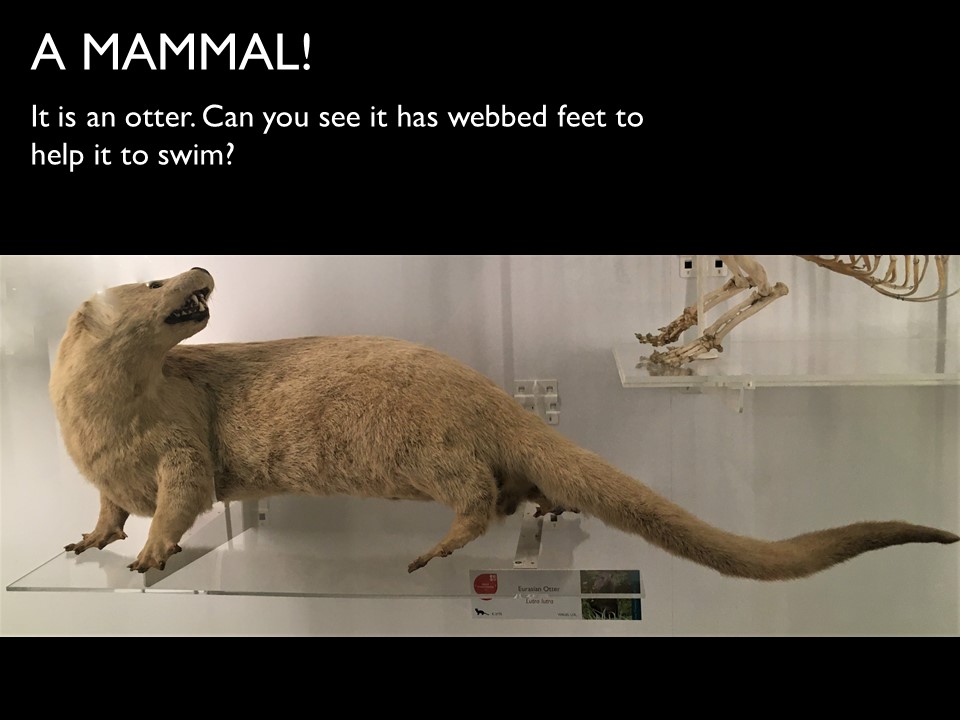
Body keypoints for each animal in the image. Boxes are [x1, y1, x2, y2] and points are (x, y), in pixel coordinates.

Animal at [49, 268, 958, 576]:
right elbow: (107, 506)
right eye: (154, 282)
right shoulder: (98, 472)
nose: (199, 269)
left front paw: (151, 554)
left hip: (429, 447)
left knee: (481, 493)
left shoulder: (182, 444)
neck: (105, 428)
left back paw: (437, 550)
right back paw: (548, 507)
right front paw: (91, 540)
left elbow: (180, 500)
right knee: (520, 490)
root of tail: (490, 394)